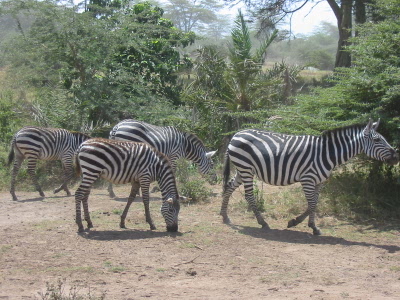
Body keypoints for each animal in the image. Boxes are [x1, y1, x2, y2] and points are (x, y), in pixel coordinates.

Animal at [220, 119, 398, 234]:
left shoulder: (319, 182)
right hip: (246, 168)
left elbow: (314, 203)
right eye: (377, 140)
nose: (396, 157)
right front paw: (313, 227)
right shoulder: (308, 179)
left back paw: (225, 216)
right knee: (249, 195)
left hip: (242, 170)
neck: (327, 153)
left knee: (229, 186)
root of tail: (236, 134)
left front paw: (296, 221)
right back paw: (262, 222)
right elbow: (312, 203)